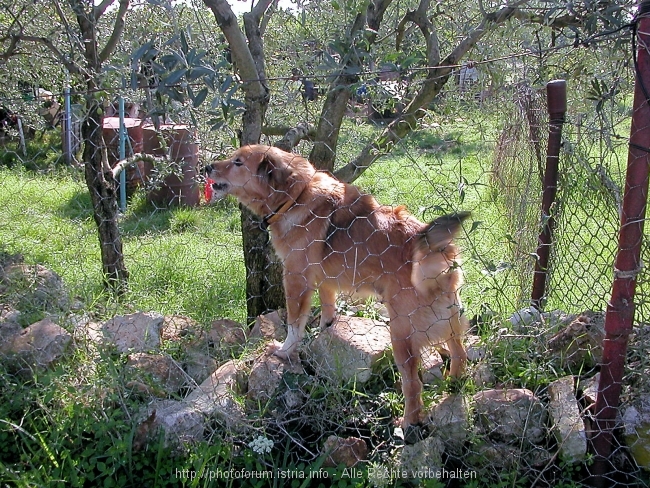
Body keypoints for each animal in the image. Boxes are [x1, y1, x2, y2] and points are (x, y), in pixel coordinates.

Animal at [205, 145, 468, 428]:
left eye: (238, 162)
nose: (207, 167)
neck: (294, 197)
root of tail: (436, 251)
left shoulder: (295, 279)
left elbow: (294, 325)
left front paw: (285, 351)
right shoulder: (324, 280)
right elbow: (327, 306)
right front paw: (325, 331)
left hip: (401, 334)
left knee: (413, 385)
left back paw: (407, 422)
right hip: (450, 323)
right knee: (459, 353)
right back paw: (454, 383)